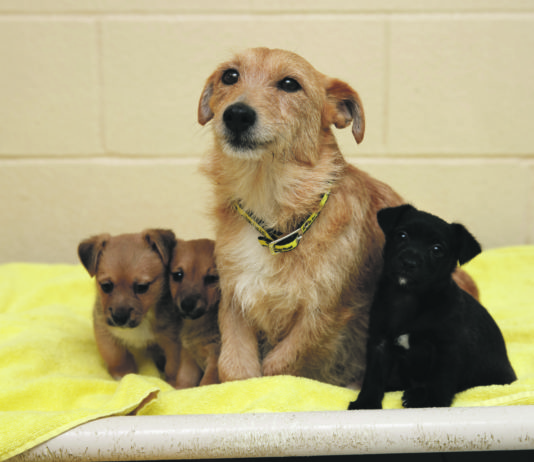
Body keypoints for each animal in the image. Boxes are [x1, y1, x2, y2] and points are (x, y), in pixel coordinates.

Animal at [77, 229, 182, 384]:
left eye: (142, 287)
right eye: (106, 286)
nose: (119, 318)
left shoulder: (172, 341)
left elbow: (173, 366)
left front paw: (171, 383)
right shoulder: (104, 331)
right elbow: (116, 356)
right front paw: (123, 374)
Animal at [170, 240, 220, 388]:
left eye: (211, 278)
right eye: (178, 275)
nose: (187, 305)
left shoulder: (215, 359)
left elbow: (206, 383)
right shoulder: (189, 360)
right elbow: (183, 382)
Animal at [198, 47, 478, 386]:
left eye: (290, 84)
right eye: (230, 76)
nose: (237, 114)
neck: (277, 221)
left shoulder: (323, 315)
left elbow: (280, 366)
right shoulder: (234, 298)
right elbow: (236, 370)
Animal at [350, 204, 516, 410]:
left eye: (437, 249)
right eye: (402, 235)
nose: (409, 262)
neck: (408, 297)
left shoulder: (447, 349)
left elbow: (441, 380)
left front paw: (434, 404)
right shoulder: (379, 342)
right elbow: (373, 376)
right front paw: (366, 403)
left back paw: (416, 395)